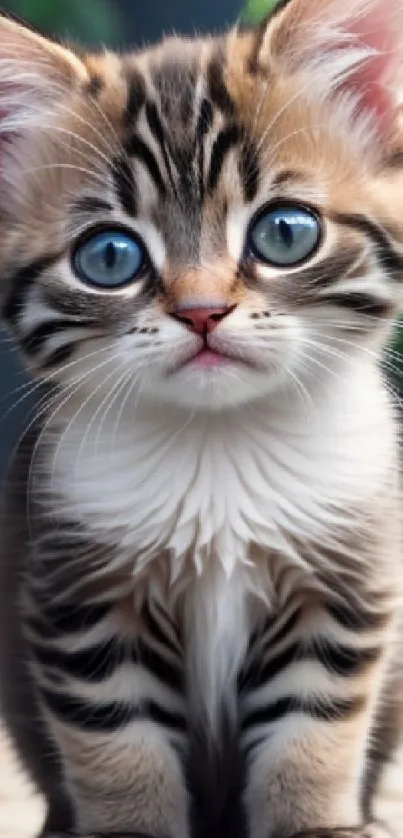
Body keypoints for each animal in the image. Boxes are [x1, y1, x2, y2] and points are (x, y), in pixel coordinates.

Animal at [0, 0, 403, 836]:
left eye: (285, 232)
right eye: (109, 256)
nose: (201, 311)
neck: (221, 442)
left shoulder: (343, 585)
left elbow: (314, 731)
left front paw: (314, 821)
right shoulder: (83, 603)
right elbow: (116, 748)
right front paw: (130, 826)